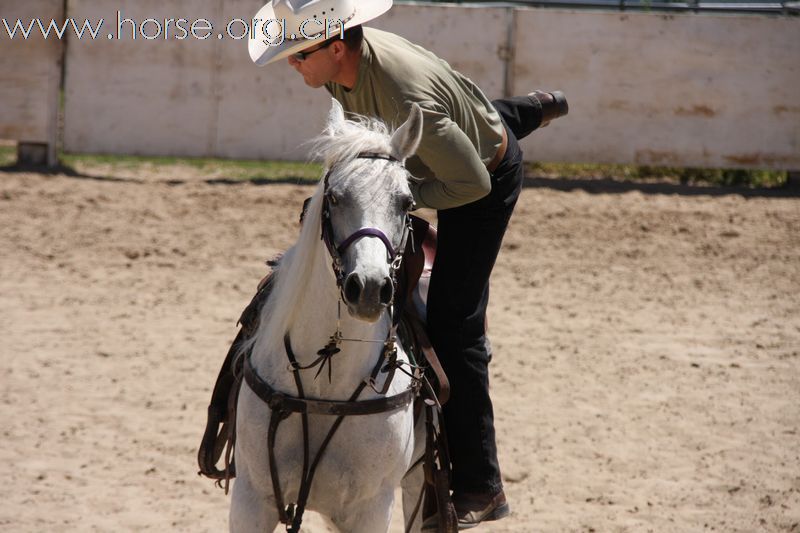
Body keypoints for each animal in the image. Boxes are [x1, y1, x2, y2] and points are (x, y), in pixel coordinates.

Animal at [231, 97, 428, 528]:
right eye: (335, 198)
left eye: (406, 203)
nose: (369, 288)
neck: (327, 387)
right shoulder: (251, 498)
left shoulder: (372, 509)